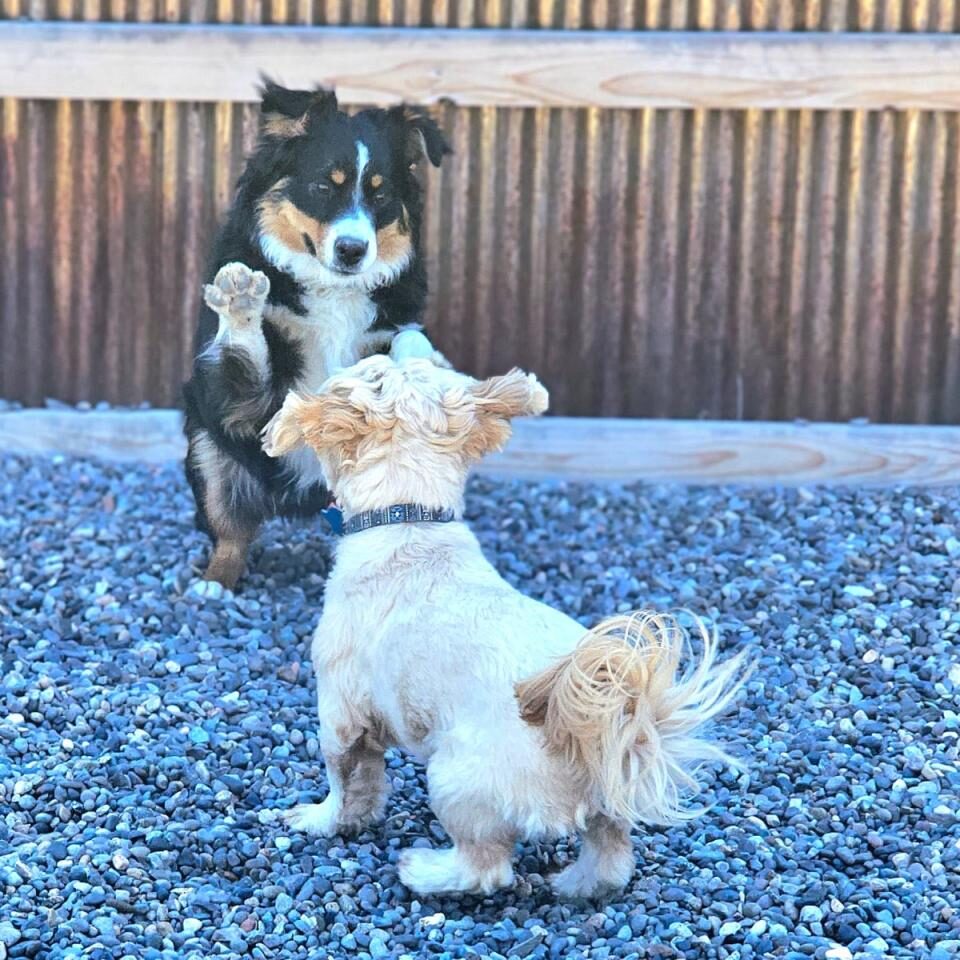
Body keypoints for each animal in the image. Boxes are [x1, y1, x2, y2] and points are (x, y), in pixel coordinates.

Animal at [183, 82, 450, 588]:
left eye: (380, 195)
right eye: (324, 186)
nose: (352, 250)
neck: (333, 288)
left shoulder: (389, 325)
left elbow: (407, 338)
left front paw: (423, 359)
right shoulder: (252, 403)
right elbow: (247, 350)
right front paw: (240, 300)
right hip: (208, 450)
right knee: (231, 532)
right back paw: (213, 584)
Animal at [262, 354, 752, 900]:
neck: (410, 518)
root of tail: (589, 729)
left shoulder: (341, 708)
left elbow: (346, 780)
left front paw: (321, 819)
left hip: (454, 776)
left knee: (485, 868)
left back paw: (423, 871)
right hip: (602, 805)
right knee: (610, 857)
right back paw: (576, 884)